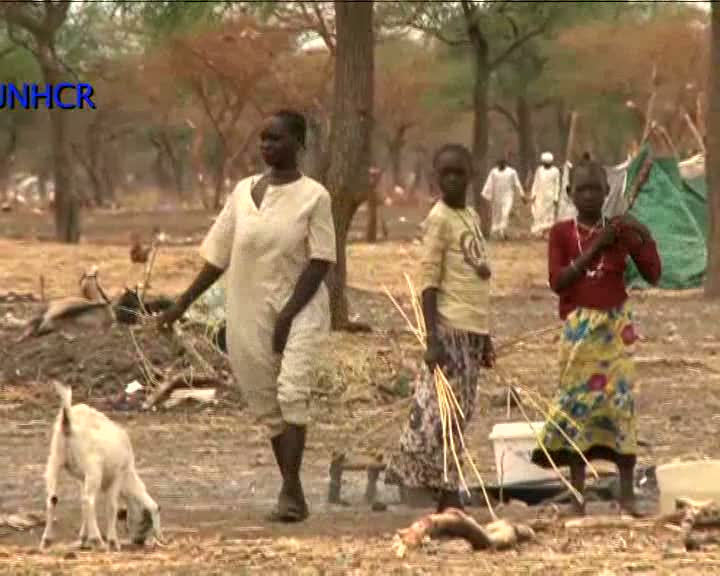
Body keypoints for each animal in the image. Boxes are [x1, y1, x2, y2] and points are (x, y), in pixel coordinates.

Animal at [41, 382, 163, 548]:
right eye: (146, 522)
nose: (138, 541)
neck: (129, 475)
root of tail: (68, 421)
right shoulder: (118, 474)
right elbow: (111, 506)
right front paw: (112, 541)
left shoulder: (82, 478)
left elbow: (82, 505)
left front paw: (83, 538)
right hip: (93, 467)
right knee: (89, 500)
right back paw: (98, 540)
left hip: (55, 460)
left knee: (53, 499)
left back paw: (46, 540)